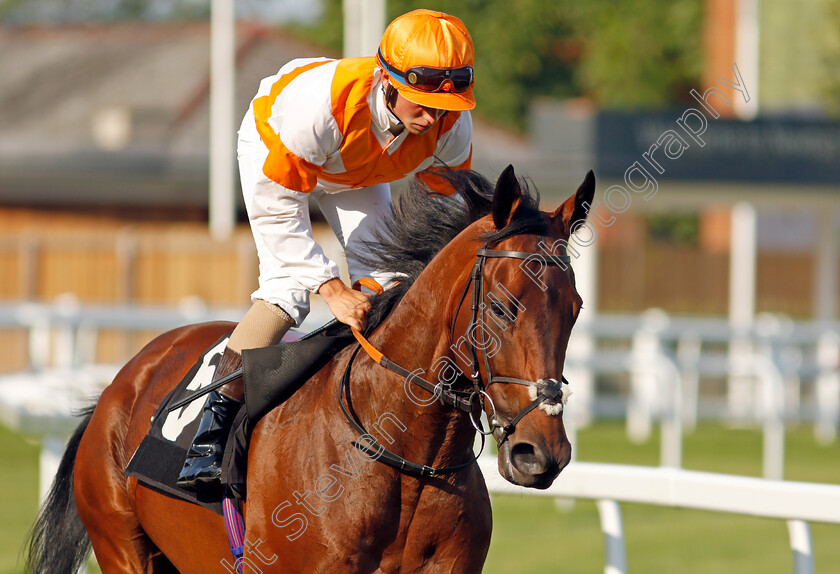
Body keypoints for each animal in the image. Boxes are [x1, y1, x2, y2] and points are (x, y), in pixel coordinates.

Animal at [24, 164, 592, 572]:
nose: (541, 453)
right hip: (122, 546)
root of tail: (123, 383)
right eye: (501, 307)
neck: (405, 454)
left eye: (576, 308)